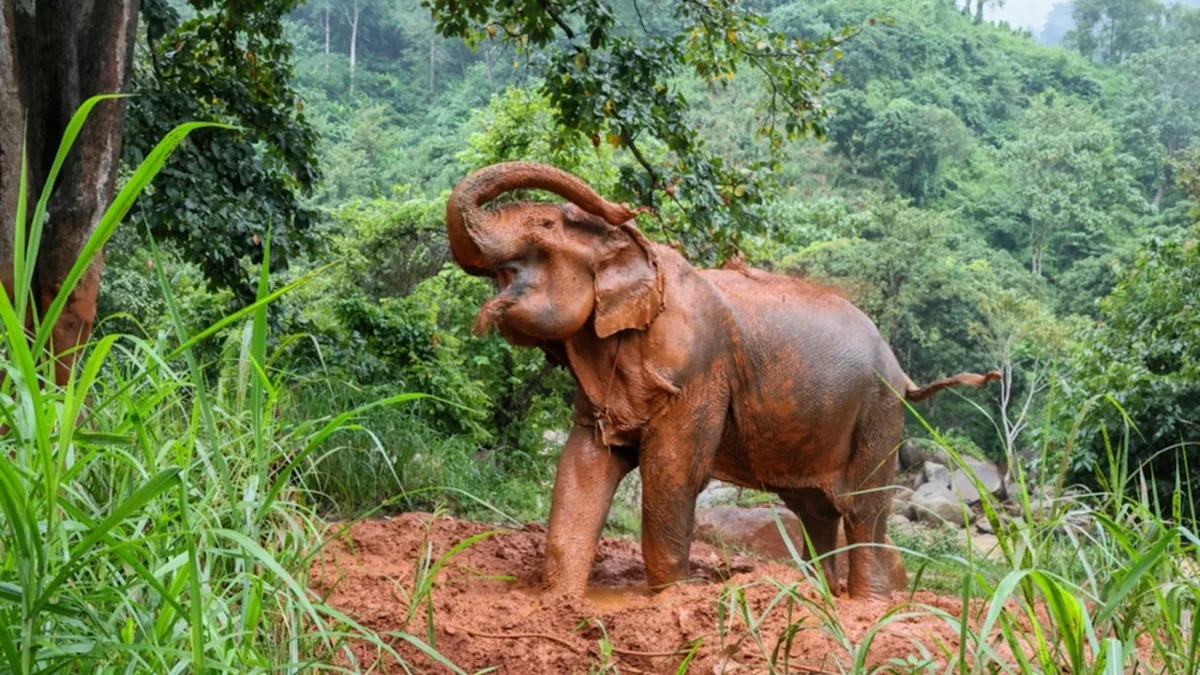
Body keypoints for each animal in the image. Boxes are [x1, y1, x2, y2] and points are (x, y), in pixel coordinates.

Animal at [444, 161, 1000, 599]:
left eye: (544, 223)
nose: (627, 206)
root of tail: (903, 373)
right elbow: (585, 462)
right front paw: (561, 599)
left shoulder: (700, 368)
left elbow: (671, 473)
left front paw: (670, 597)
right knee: (817, 510)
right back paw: (821, 598)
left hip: (879, 411)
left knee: (862, 509)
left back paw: (863, 607)